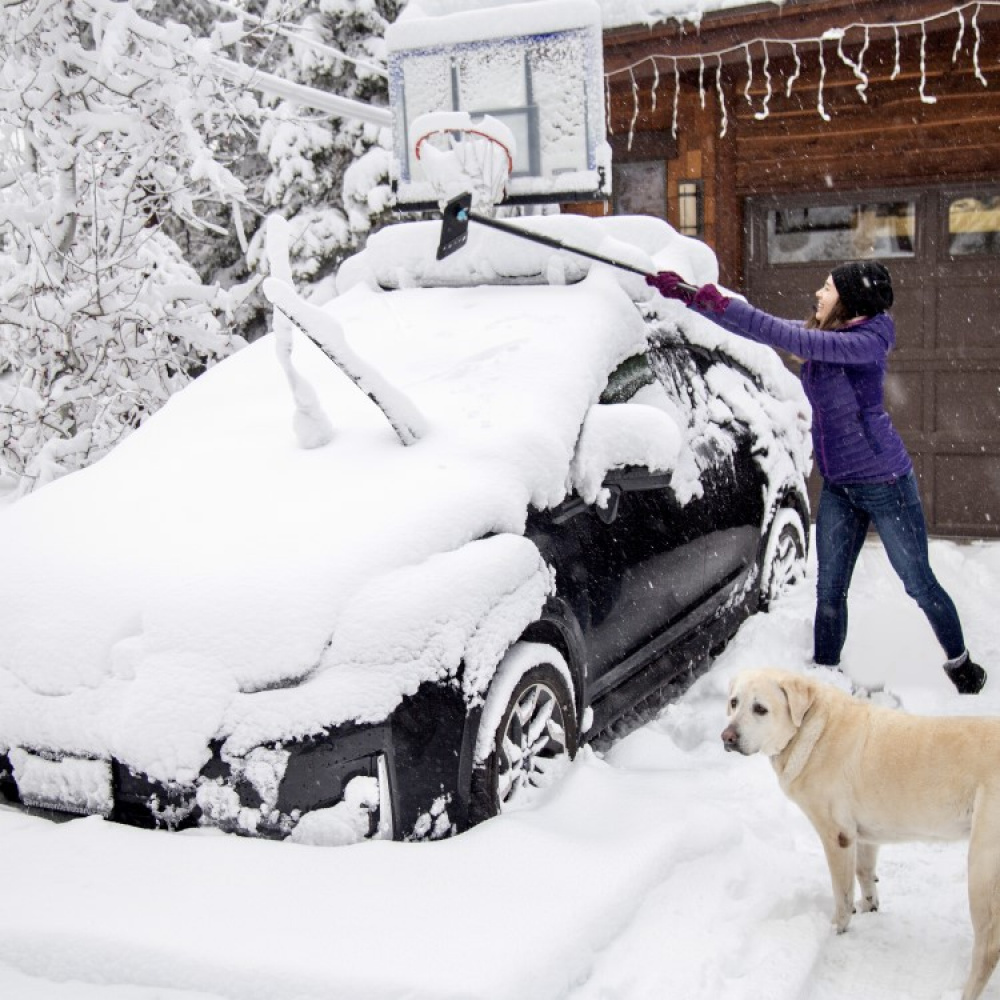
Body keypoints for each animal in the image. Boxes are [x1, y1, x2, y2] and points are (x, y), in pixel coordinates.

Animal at [724, 668, 1000, 1000]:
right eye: (734, 702)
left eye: (760, 709)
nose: (726, 737)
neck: (812, 728)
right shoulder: (865, 835)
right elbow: (864, 872)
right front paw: (869, 906)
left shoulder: (837, 835)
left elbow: (842, 892)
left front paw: (836, 928)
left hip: (982, 866)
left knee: (988, 948)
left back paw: (967, 991)